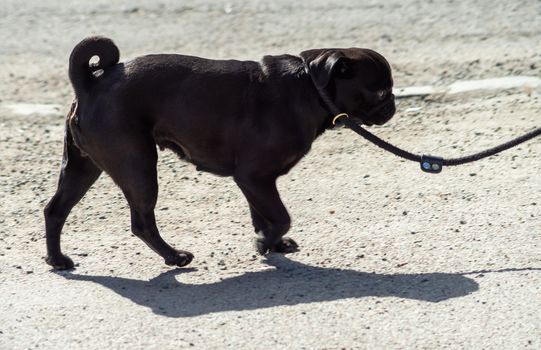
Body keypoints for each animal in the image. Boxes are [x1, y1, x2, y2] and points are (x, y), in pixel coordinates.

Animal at [44, 37, 394, 270]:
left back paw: (57, 259)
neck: (309, 87)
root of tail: (90, 84)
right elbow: (281, 217)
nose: (392, 104)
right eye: (380, 92)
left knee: (55, 210)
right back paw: (174, 256)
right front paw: (265, 242)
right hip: (138, 166)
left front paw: (271, 243)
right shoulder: (254, 177)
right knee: (142, 222)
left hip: (82, 168)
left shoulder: (256, 183)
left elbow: (262, 215)